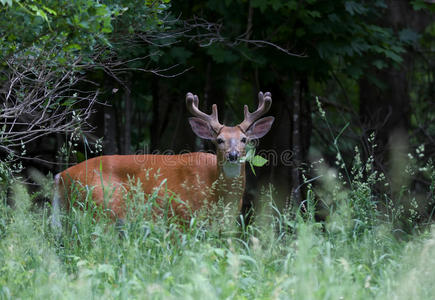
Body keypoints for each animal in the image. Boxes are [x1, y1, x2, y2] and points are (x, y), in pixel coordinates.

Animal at [52, 91, 274, 225]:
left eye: (244, 139)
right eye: (219, 140)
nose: (233, 155)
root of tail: (61, 176)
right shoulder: (181, 216)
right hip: (99, 207)